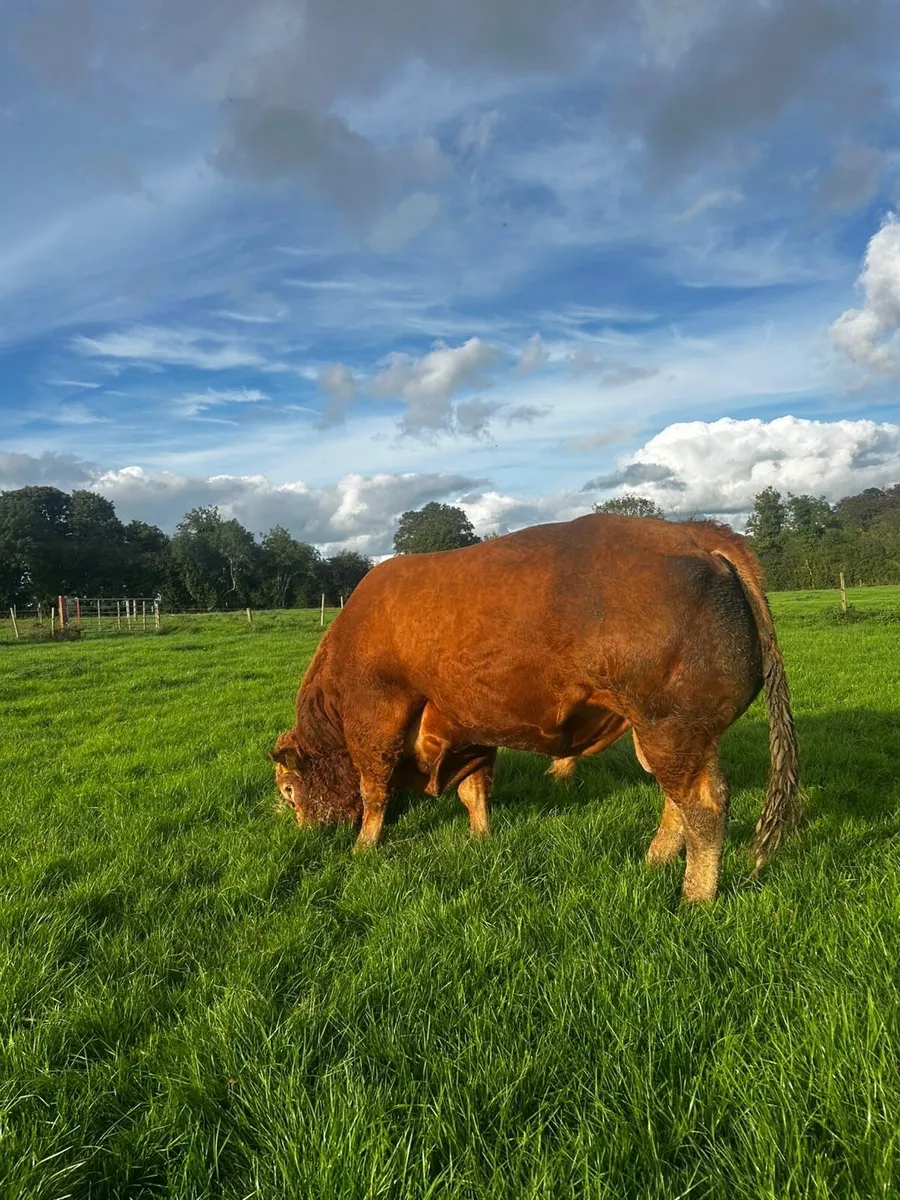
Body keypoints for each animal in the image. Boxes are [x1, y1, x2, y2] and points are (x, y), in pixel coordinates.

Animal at [270, 514, 800, 902]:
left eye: (289, 790)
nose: (307, 833)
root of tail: (694, 532)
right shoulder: (468, 728)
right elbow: (474, 790)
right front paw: (480, 838)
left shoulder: (375, 719)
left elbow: (374, 790)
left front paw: (363, 847)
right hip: (667, 734)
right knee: (678, 799)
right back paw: (655, 858)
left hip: (669, 725)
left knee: (705, 805)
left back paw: (695, 897)